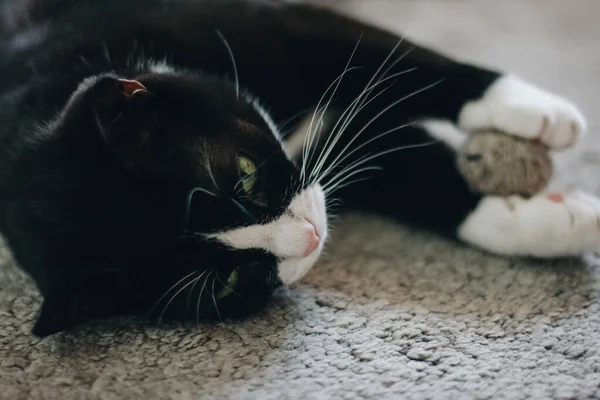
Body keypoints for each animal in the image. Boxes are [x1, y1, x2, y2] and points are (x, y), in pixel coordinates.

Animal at [1, 0, 596, 338]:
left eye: (243, 176)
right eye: (228, 280)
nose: (308, 237)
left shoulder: (260, 23)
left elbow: (397, 60)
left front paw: (537, 110)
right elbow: (416, 175)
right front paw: (554, 222)